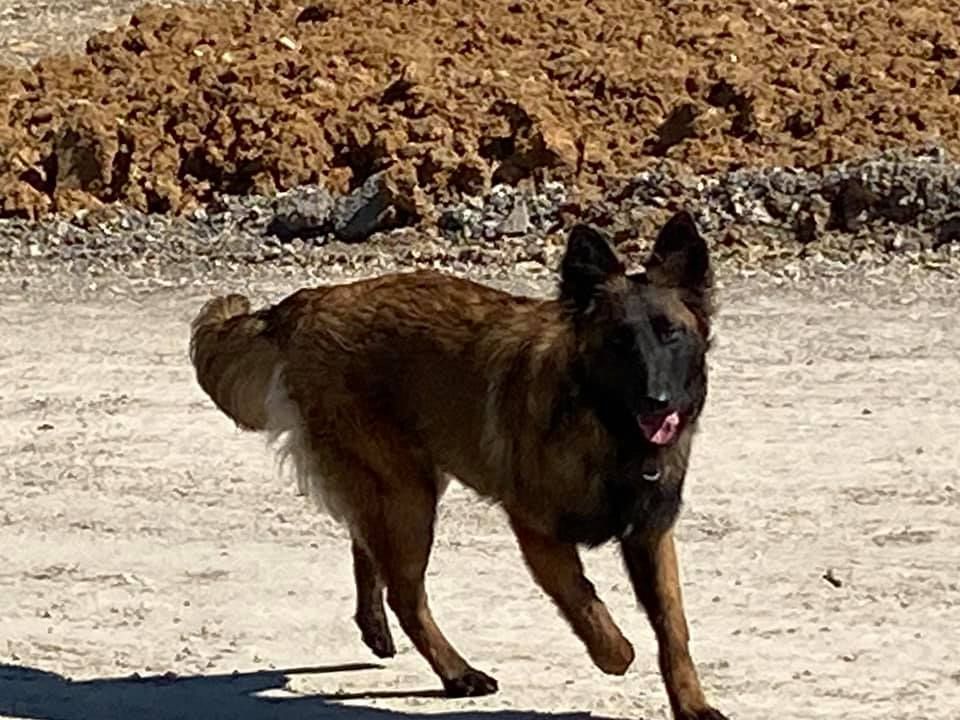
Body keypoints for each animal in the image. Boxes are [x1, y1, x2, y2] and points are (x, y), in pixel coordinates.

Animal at [188, 211, 728, 716]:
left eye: (670, 334)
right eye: (619, 342)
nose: (656, 401)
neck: (609, 429)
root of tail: (312, 301)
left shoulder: (651, 535)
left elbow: (674, 628)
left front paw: (692, 704)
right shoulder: (538, 533)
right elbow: (587, 603)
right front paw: (615, 653)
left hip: (398, 488)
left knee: (366, 546)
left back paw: (377, 631)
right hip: (409, 496)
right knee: (405, 592)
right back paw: (457, 673)